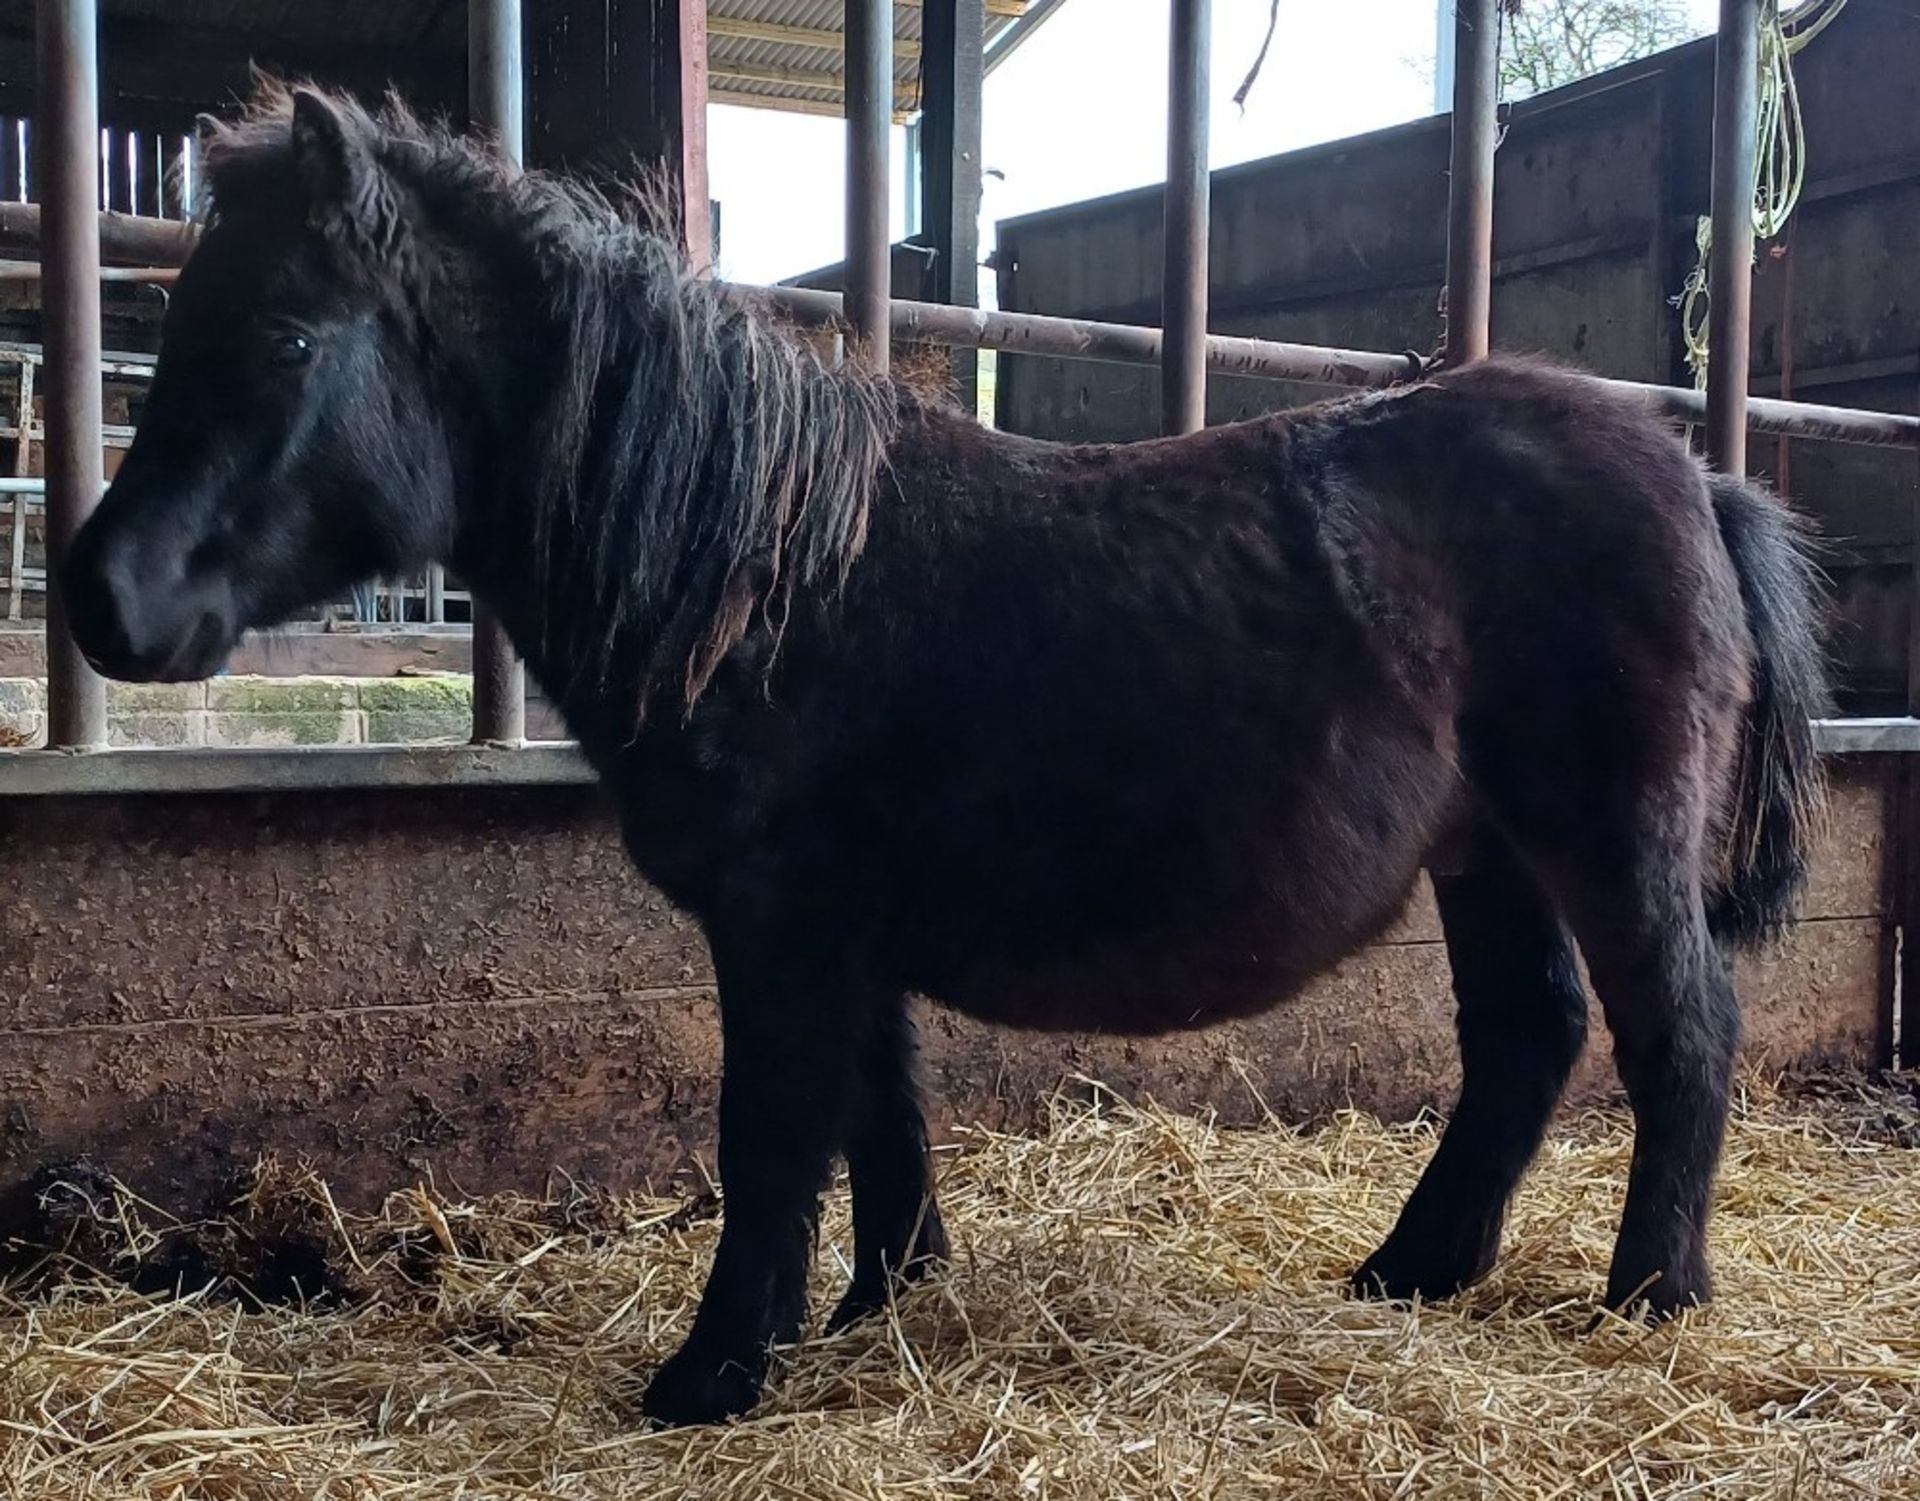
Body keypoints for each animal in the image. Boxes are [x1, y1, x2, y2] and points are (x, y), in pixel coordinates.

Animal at [63, 88, 1827, 1428]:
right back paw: (1412, 1272)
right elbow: (878, 1117)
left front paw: (712, 1373)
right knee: (1526, 1037)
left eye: (286, 338)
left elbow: (775, 1138)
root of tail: (1695, 473)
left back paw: (1651, 1298)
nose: (99, 595)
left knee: (1680, 1034)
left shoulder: (783, 928)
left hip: (1606, 836)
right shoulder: (840, 934)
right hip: (1491, 851)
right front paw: (879, 1310)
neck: (759, 571)